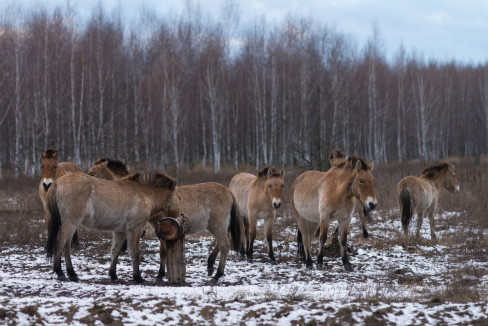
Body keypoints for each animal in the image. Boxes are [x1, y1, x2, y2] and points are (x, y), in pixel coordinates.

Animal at [44, 171, 179, 282]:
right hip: (70, 223)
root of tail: (56, 183)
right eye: (179, 197)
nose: (178, 214)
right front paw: (138, 277)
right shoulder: (134, 230)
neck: (143, 193)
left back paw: (72, 274)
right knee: (60, 244)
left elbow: (116, 251)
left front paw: (113, 274)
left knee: (66, 247)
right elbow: (135, 253)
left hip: (72, 224)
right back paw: (60, 273)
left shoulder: (120, 231)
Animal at [88, 160, 241, 282]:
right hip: (214, 226)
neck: (148, 196)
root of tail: (228, 191)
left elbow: (163, 251)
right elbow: (162, 251)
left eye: (93, 174)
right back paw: (210, 266)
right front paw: (161, 274)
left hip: (218, 225)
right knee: (221, 243)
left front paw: (160, 274)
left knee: (224, 245)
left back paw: (217, 275)